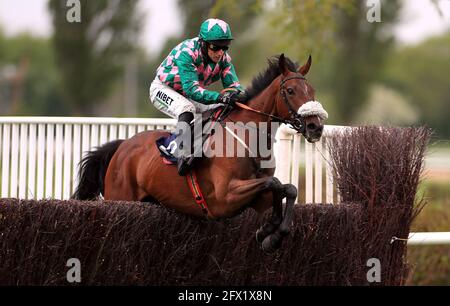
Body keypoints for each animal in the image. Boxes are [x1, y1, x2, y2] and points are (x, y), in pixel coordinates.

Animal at [73, 54, 326, 253]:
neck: (248, 138)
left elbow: (286, 188)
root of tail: (122, 146)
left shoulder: (257, 199)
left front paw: (270, 233)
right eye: (291, 91)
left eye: (312, 91)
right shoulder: (226, 197)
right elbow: (274, 183)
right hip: (121, 197)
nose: (315, 127)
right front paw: (270, 233)